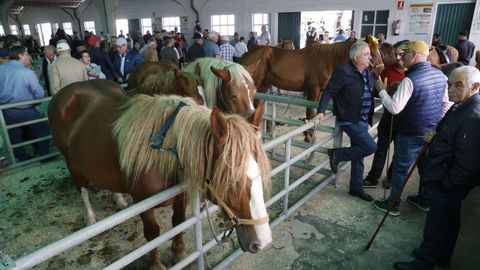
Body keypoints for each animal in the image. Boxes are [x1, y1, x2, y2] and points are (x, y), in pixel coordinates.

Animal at [49, 79, 274, 268]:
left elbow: (178, 222)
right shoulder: (143, 202)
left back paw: (118, 199)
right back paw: (90, 218)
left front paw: (179, 252)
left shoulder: (180, 195)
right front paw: (156, 264)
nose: (263, 241)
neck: (163, 149)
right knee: (82, 187)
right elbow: (153, 234)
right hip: (71, 161)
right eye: (232, 182)